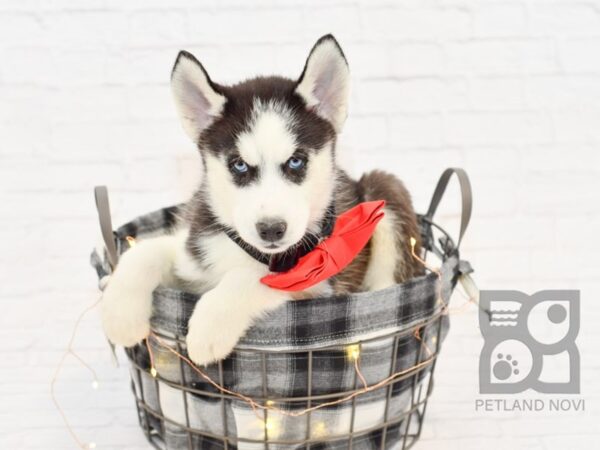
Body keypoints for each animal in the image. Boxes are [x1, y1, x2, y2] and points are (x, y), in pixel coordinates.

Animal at [99, 35, 422, 366]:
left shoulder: (316, 281)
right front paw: (119, 312)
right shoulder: (193, 251)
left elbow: (251, 278)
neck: (252, 251)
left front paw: (209, 325)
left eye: (296, 161)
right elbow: (145, 251)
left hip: (383, 190)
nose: (271, 229)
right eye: (239, 165)